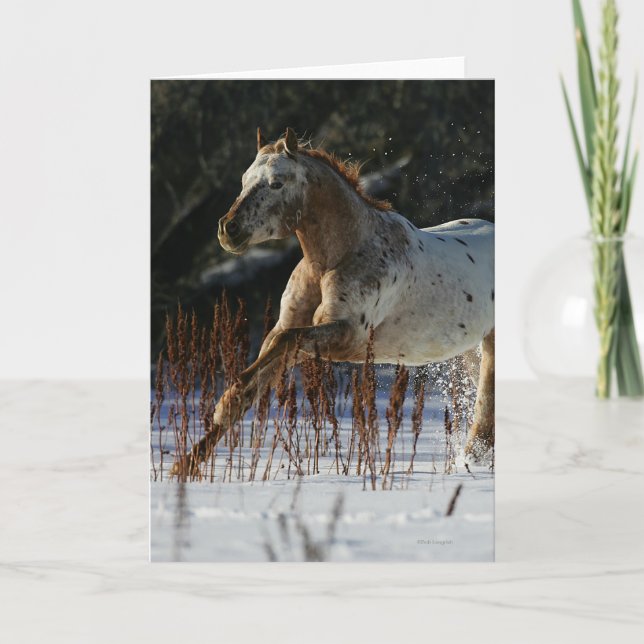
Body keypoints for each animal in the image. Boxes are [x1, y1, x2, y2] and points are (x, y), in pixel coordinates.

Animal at [173, 127, 494, 476]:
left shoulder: (345, 336)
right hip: (469, 351)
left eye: (276, 183)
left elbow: (284, 344)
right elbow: (253, 383)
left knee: (485, 404)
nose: (228, 229)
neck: (338, 257)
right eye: (245, 180)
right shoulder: (288, 329)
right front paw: (183, 466)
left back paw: (473, 458)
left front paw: (234, 386)